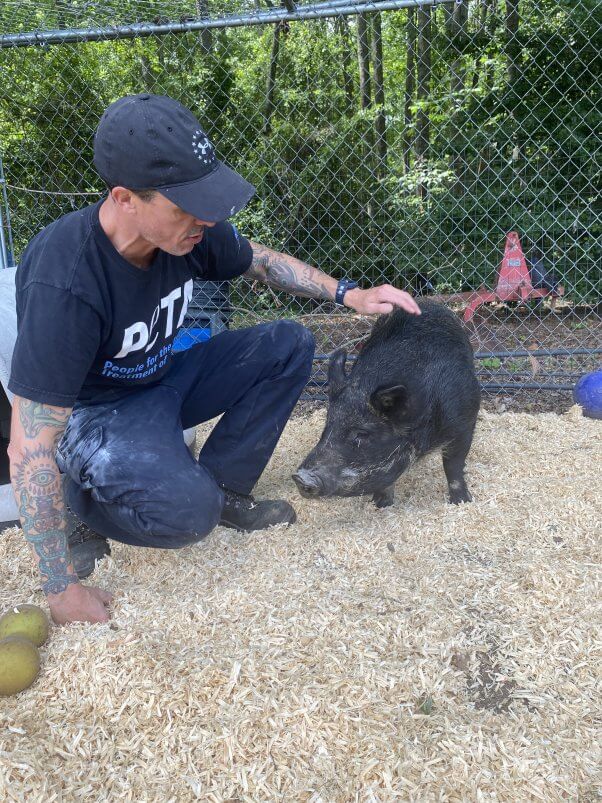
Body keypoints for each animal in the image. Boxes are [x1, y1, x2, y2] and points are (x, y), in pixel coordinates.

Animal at [290, 302, 478, 508]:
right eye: (327, 425)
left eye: (362, 433)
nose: (300, 477)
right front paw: (380, 504)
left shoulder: (464, 423)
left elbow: (453, 466)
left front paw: (462, 501)